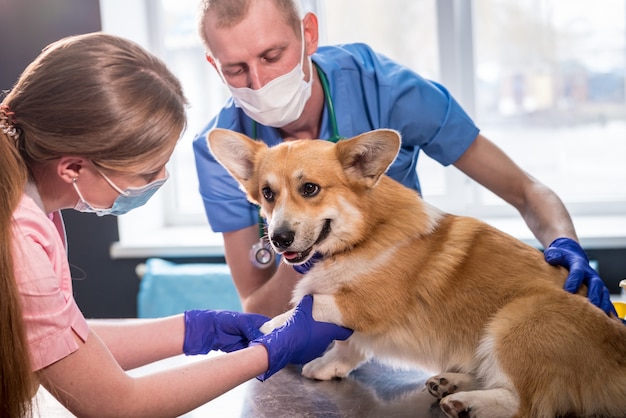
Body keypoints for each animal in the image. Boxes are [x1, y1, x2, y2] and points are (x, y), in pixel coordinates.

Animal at [207, 128, 624, 418]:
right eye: (267, 194)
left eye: (310, 188)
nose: (278, 240)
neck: (365, 234)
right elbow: (346, 342)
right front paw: (329, 364)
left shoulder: (368, 304)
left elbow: (307, 304)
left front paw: (275, 327)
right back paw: (451, 382)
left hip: (517, 317)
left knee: (528, 404)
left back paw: (467, 402)